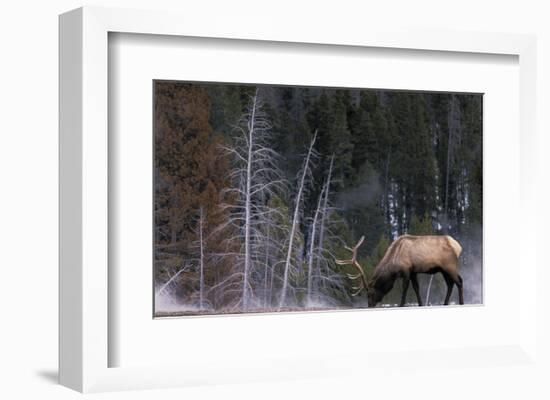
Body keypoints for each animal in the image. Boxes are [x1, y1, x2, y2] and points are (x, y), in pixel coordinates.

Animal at [336, 233, 466, 308]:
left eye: (369, 293)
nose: (370, 305)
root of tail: (458, 246)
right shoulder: (413, 271)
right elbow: (416, 288)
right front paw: (420, 304)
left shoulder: (406, 270)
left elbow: (405, 288)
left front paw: (401, 304)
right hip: (443, 270)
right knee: (450, 284)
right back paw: (445, 303)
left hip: (450, 265)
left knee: (459, 281)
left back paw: (461, 302)